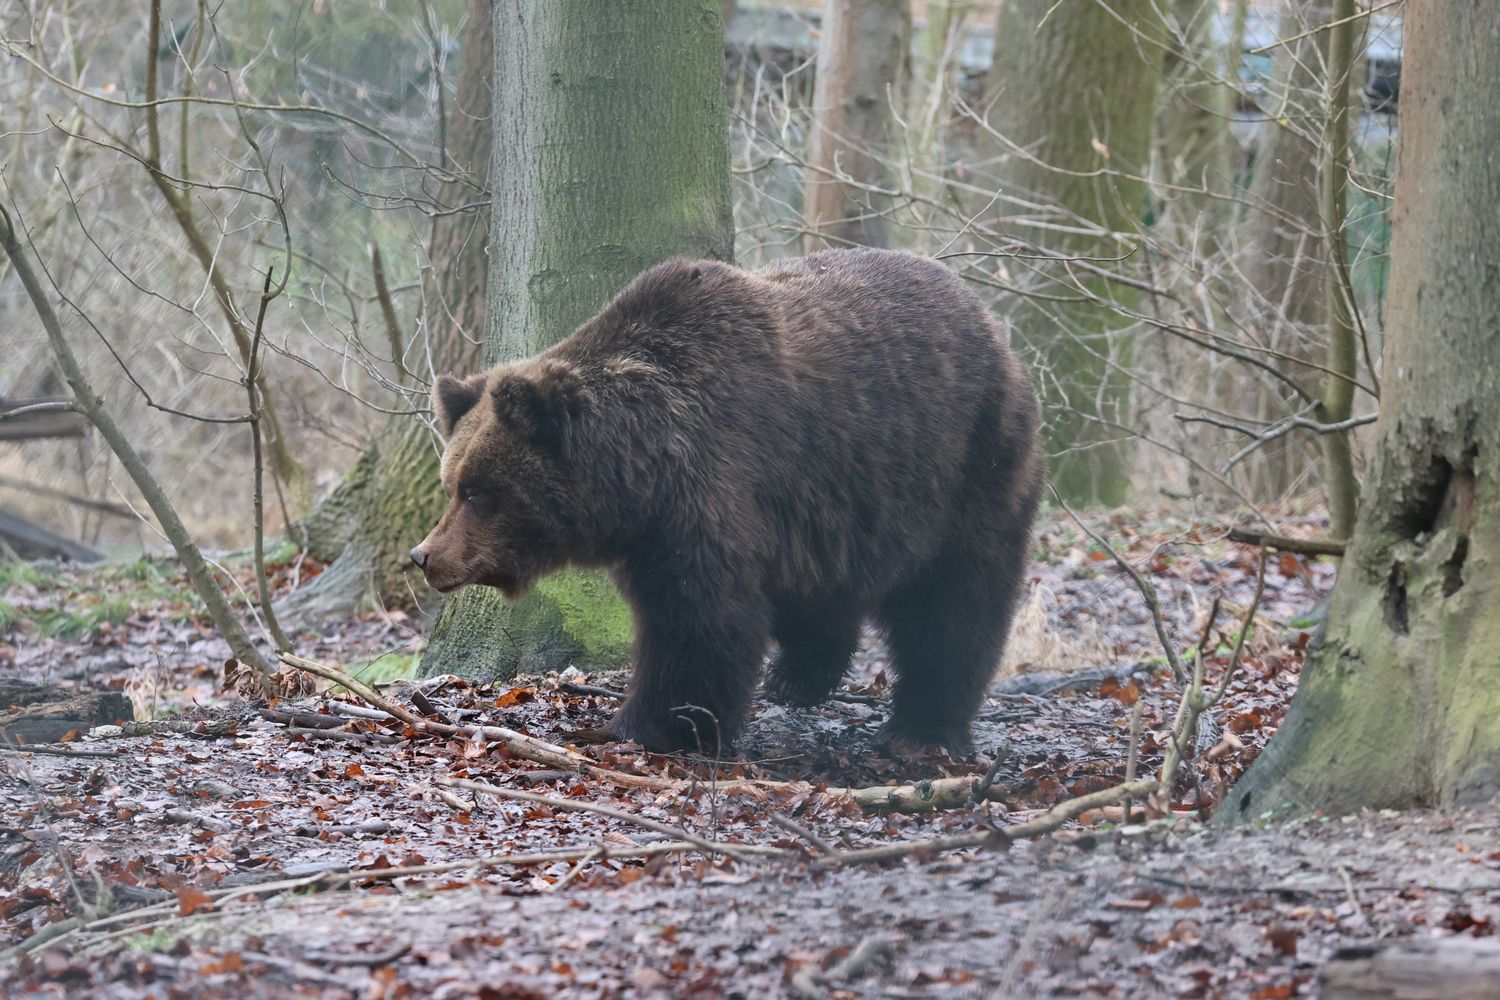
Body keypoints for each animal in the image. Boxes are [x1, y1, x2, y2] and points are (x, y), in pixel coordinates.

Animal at [410, 248, 1043, 755]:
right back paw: (799, 677)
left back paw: (923, 726)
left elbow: (698, 624)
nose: (424, 556)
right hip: (847, 504)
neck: (639, 477)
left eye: (478, 492)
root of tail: (991, 324)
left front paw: (644, 725)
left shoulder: (710, 493)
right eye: (451, 485)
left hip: (966, 465)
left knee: (954, 600)